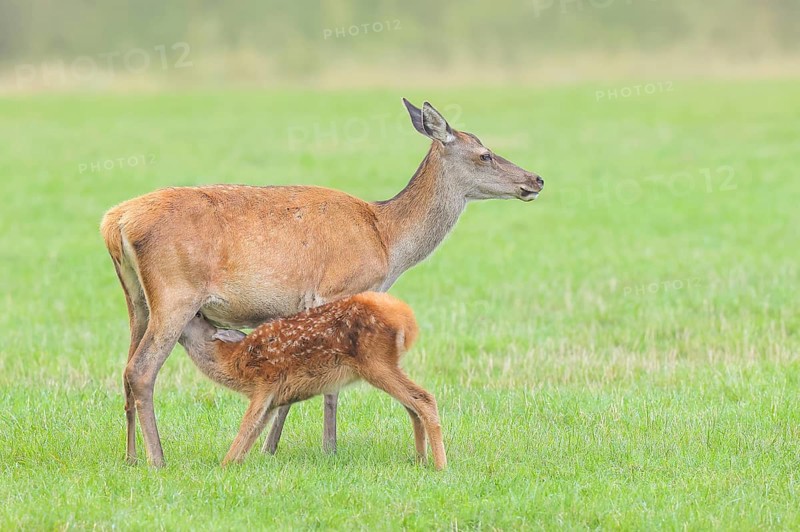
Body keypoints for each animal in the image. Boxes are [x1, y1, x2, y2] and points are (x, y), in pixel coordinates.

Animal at [177, 292, 446, 469]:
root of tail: (406, 319)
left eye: (197, 314)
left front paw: (223, 466)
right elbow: (255, 431)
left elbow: (247, 425)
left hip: (375, 362)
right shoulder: (273, 399)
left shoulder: (265, 383)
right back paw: (421, 460)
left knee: (424, 399)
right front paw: (234, 463)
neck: (234, 362)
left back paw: (440, 466)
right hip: (387, 364)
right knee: (412, 406)